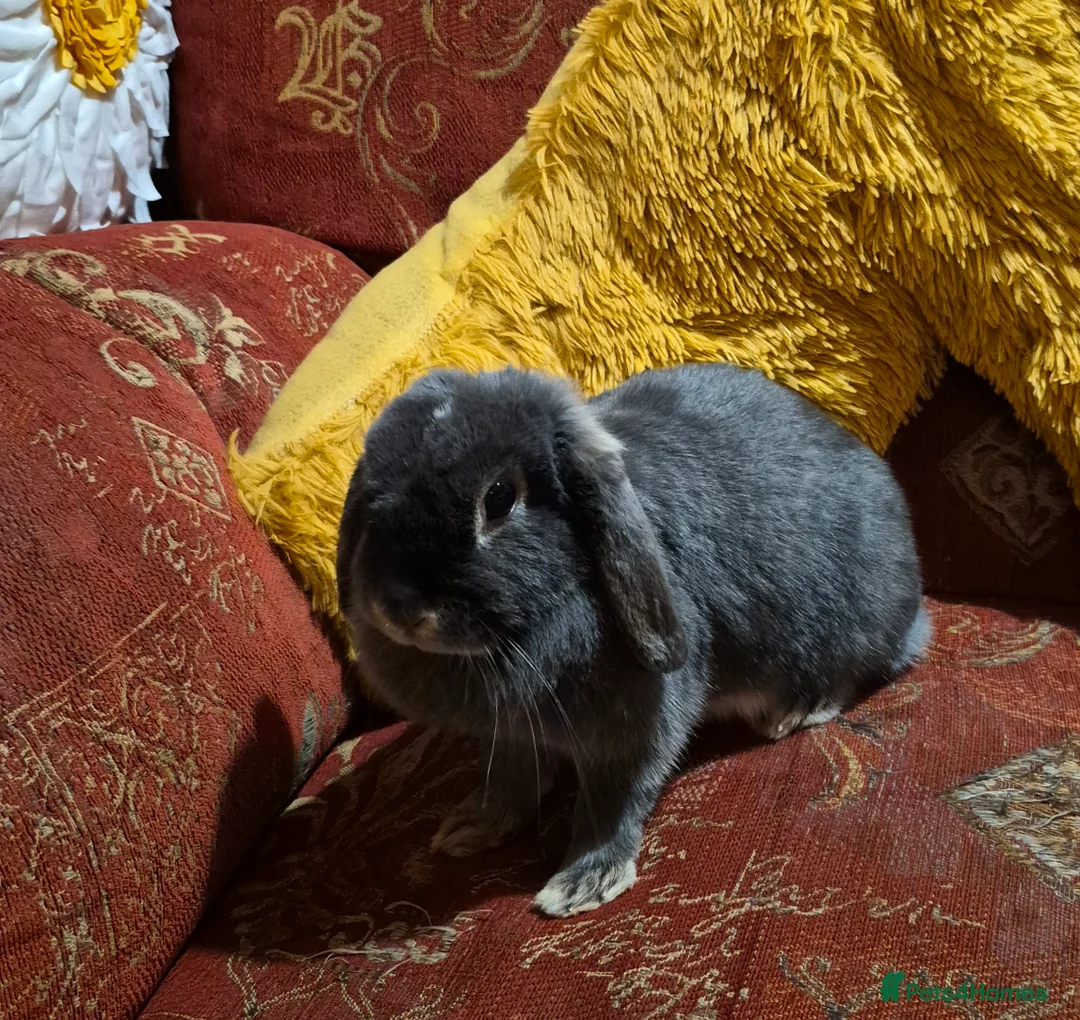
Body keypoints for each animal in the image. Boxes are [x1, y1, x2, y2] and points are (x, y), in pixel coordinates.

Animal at [336, 363, 929, 918]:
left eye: (500, 498)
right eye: (372, 492)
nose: (401, 608)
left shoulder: (633, 729)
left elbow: (613, 798)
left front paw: (584, 881)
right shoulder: (515, 736)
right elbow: (510, 778)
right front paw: (473, 826)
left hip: (853, 622)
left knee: (862, 667)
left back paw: (795, 709)